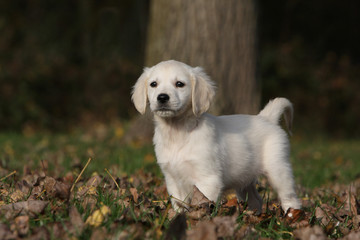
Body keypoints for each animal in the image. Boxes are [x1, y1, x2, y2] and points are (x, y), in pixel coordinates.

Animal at [131, 60, 300, 214]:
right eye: (153, 84)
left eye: (180, 84)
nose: (162, 97)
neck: (178, 132)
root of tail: (266, 117)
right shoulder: (172, 179)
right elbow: (180, 206)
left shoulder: (207, 179)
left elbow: (205, 204)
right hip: (244, 179)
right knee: (256, 200)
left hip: (278, 169)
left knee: (290, 197)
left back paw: (291, 215)